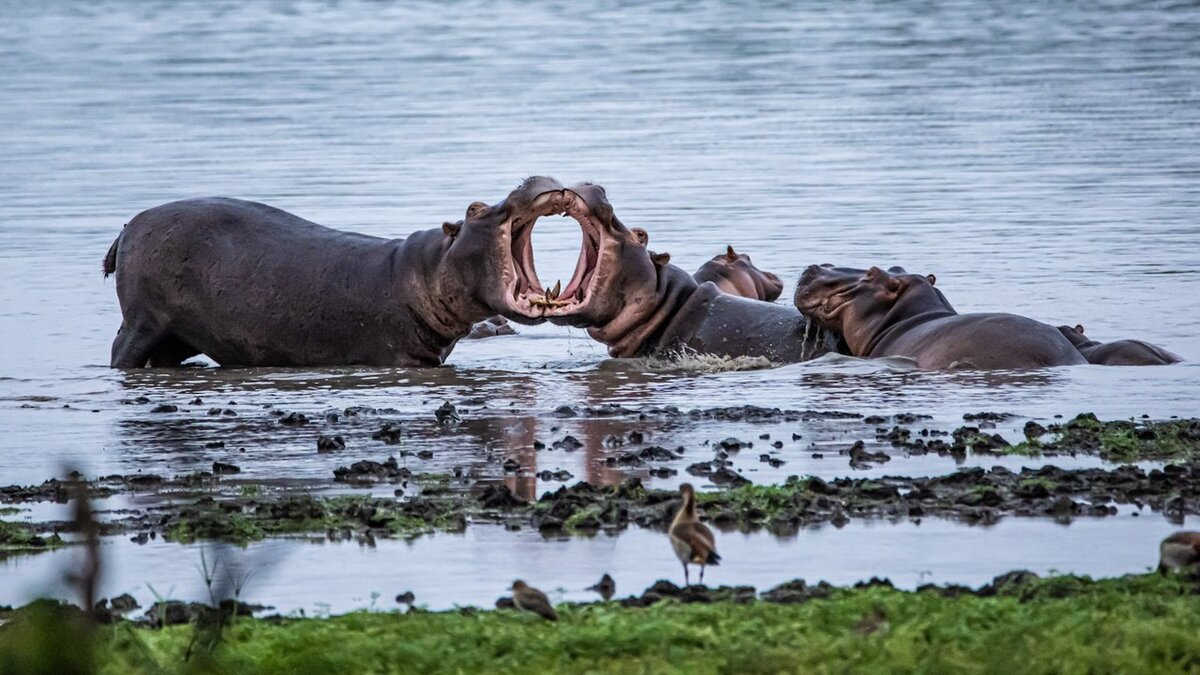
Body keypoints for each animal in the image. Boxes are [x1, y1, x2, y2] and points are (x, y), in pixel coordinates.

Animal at [100, 172, 573, 362]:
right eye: (474, 208)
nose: (529, 179)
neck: (427, 268)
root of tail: (128, 225)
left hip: (178, 338)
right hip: (143, 321)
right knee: (122, 350)